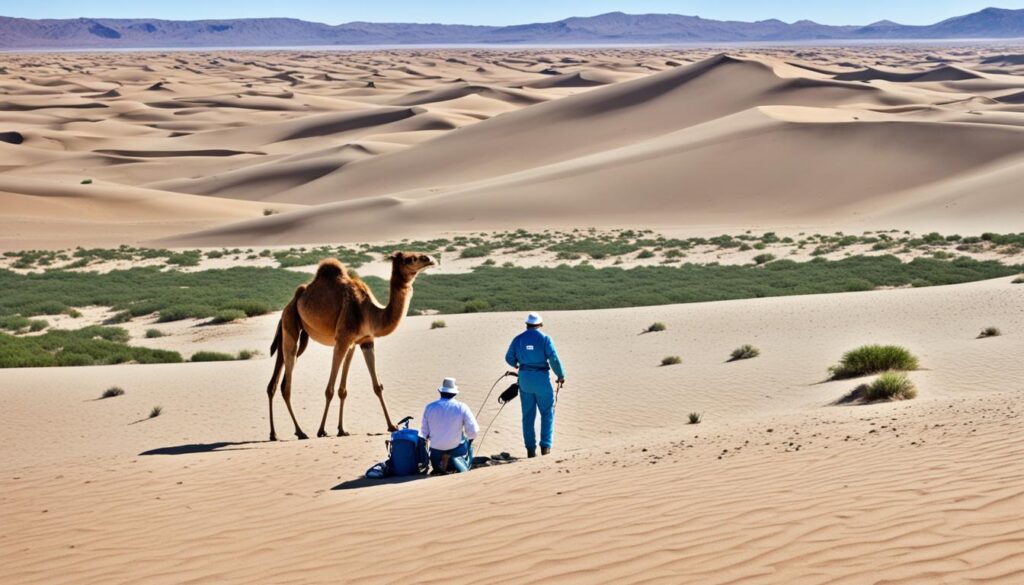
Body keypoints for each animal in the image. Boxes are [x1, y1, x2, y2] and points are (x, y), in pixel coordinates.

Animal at [264, 251, 436, 438]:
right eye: (410, 259)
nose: (430, 259)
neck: (368, 312)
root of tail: (290, 304)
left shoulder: (362, 341)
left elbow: (366, 388)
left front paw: (386, 426)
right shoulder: (343, 339)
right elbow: (330, 389)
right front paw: (322, 430)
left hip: (298, 335)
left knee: (276, 381)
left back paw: (274, 434)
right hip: (291, 325)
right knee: (287, 384)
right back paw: (301, 432)